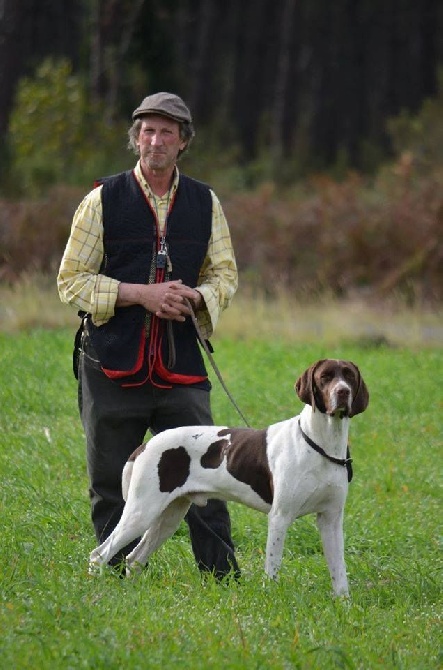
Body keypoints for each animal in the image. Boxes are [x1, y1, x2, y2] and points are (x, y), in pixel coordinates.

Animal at [88, 360, 370, 596]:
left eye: (349, 376)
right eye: (325, 377)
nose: (342, 392)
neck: (321, 443)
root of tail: (146, 446)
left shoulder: (331, 519)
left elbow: (339, 573)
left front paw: (343, 605)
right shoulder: (280, 517)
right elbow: (273, 567)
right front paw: (270, 598)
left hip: (168, 516)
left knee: (133, 559)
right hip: (141, 512)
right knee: (99, 555)